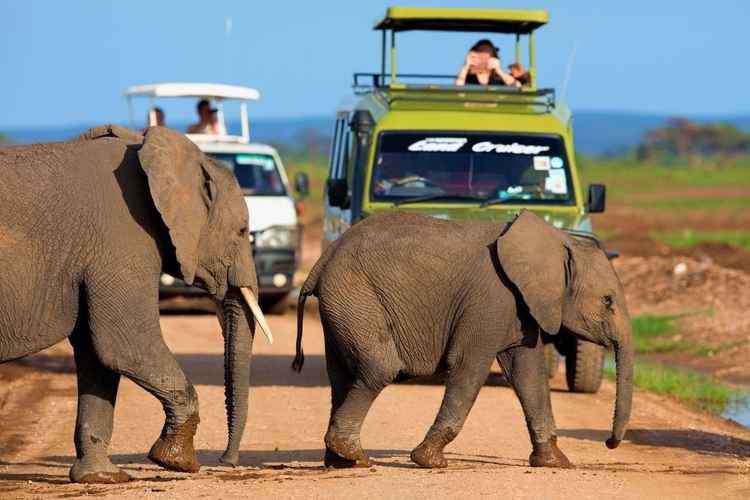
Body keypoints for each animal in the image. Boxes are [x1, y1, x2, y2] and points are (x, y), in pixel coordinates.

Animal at [0, 125, 272, 484]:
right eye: (241, 232)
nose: (226, 462)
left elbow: (96, 354)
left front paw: (101, 478)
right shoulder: (123, 240)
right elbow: (125, 344)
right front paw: (177, 461)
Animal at [294, 209, 636, 470]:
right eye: (608, 301)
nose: (610, 443)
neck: (558, 241)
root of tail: (324, 258)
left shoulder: (521, 306)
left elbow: (530, 374)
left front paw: (556, 463)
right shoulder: (492, 299)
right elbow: (469, 368)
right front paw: (429, 461)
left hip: (343, 308)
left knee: (342, 377)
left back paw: (341, 461)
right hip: (357, 298)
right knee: (379, 368)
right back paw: (353, 455)